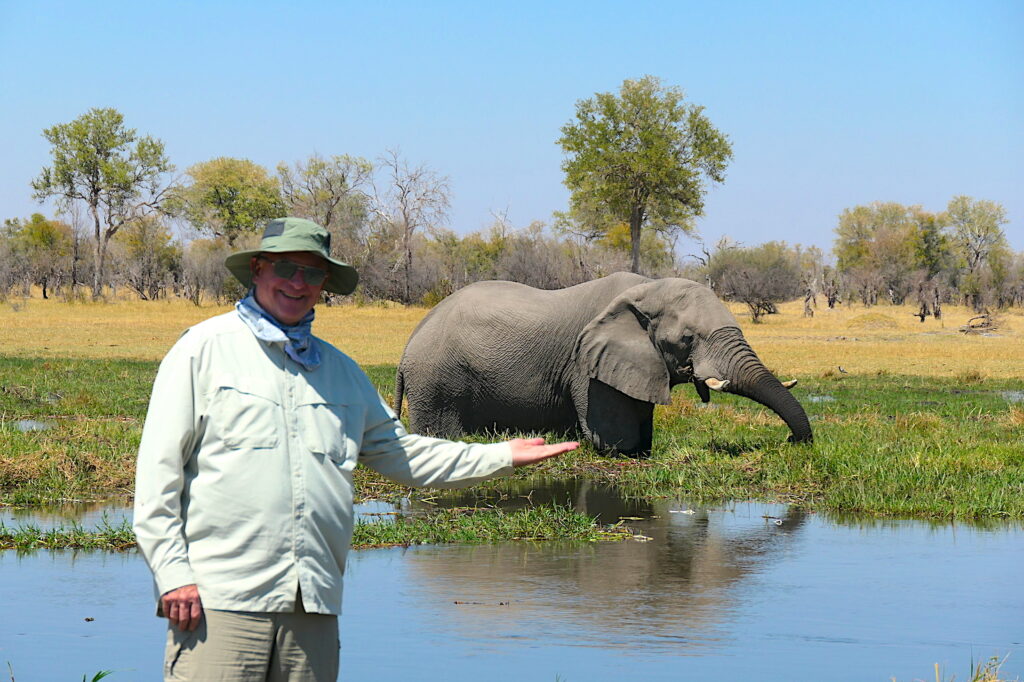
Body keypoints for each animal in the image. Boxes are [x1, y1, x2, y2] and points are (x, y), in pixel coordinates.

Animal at [395, 270, 811, 450]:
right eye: (687, 339)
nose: (792, 440)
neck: (647, 288)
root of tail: (409, 343)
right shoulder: (587, 366)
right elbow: (614, 440)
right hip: (437, 379)